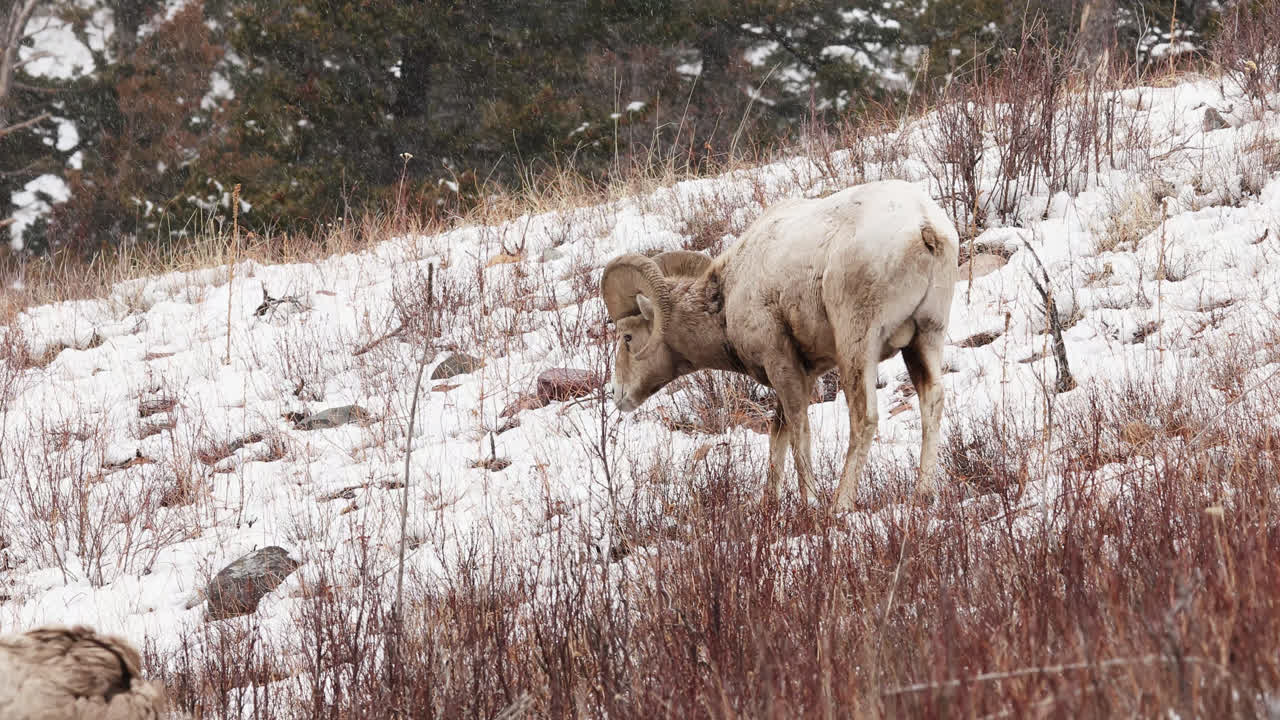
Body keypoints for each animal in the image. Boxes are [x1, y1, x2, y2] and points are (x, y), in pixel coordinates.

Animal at [601, 179, 958, 509]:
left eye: (627, 337)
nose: (618, 394)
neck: (726, 300)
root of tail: (924, 227)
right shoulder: (803, 371)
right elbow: (778, 434)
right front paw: (769, 504)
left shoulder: (781, 362)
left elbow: (799, 431)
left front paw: (809, 502)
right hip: (926, 336)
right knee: (932, 400)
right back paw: (923, 495)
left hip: (858, 345)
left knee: (864, 417)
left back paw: (839, 505)